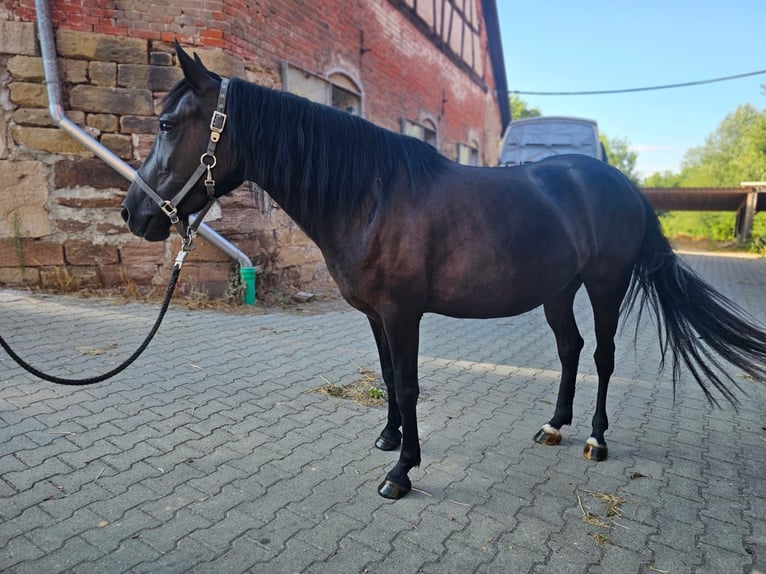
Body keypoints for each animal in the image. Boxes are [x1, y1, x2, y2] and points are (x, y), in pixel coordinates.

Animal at [121, 43, 766, 500]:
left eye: (168, 124)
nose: (133, 214)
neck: (371, 196)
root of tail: (624, 186)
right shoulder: (376, 315)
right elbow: (386, 375)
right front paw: (388, 439)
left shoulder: (403, 313)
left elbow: (408, 384)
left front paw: (403, 472)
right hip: (558, 291)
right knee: (571, 349)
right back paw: (554, 426)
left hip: (605, 286)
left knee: (603, 358)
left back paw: (594, 438)